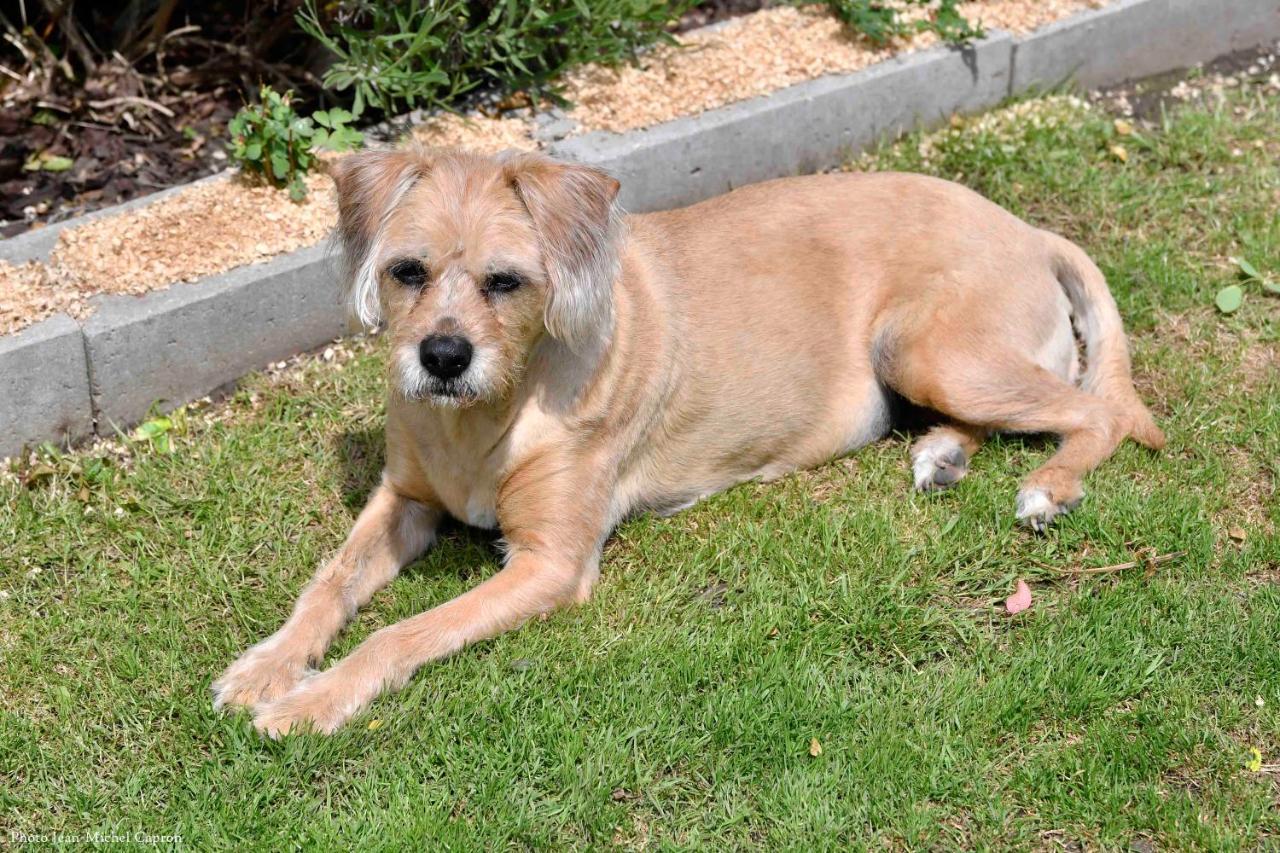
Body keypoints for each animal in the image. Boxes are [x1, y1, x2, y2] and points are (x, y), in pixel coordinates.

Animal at [215, 144, 1167, 732]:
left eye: (506, 280)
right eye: (406, 270)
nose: (441, 356)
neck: (486, 412)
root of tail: (1027, 228)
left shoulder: (548, 562)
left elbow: (402, 632)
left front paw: (311, 700)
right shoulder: (403, 499)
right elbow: (328, 585)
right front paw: (269, 665)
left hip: (927, 347)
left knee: (1100, 412)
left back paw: (1052, 486)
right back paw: (944, 453)